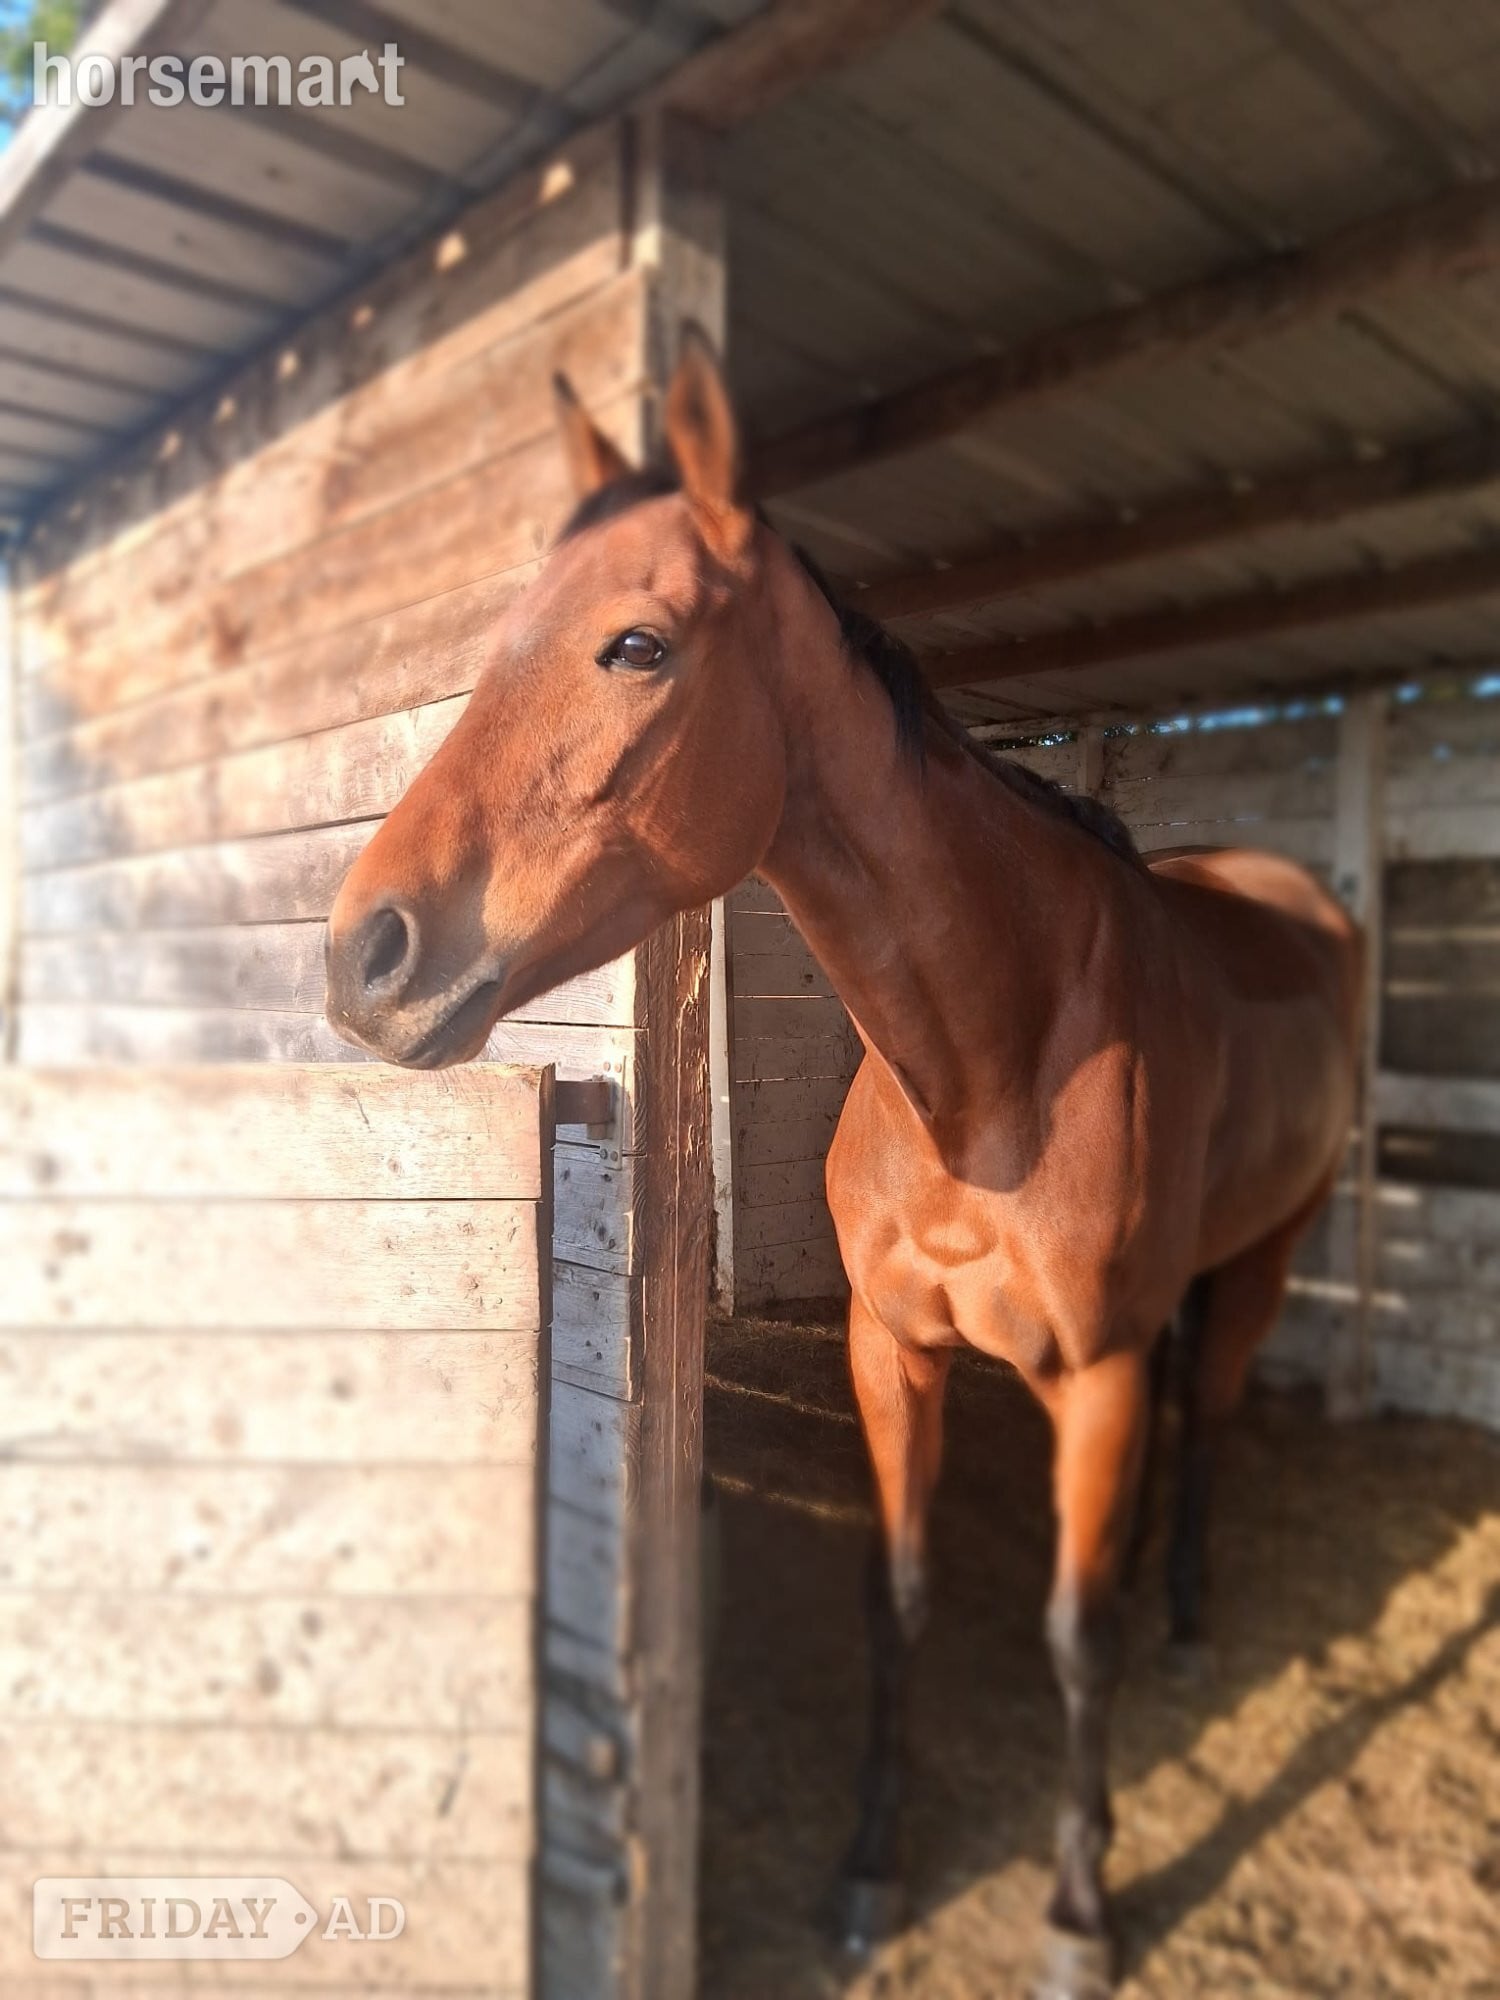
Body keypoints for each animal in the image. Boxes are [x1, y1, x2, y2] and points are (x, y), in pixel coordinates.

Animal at [325, 328, 1362, 1998]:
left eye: (636, 645)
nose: (365, 958)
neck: (997, 1071)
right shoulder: (893, 1348)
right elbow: (901, 1595)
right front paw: (873, 1865)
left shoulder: (1092, 1370)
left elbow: (1074, 1640)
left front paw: (1081, 1905)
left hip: (1261, 1257)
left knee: (1206, 1418)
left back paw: (1189, 1611)